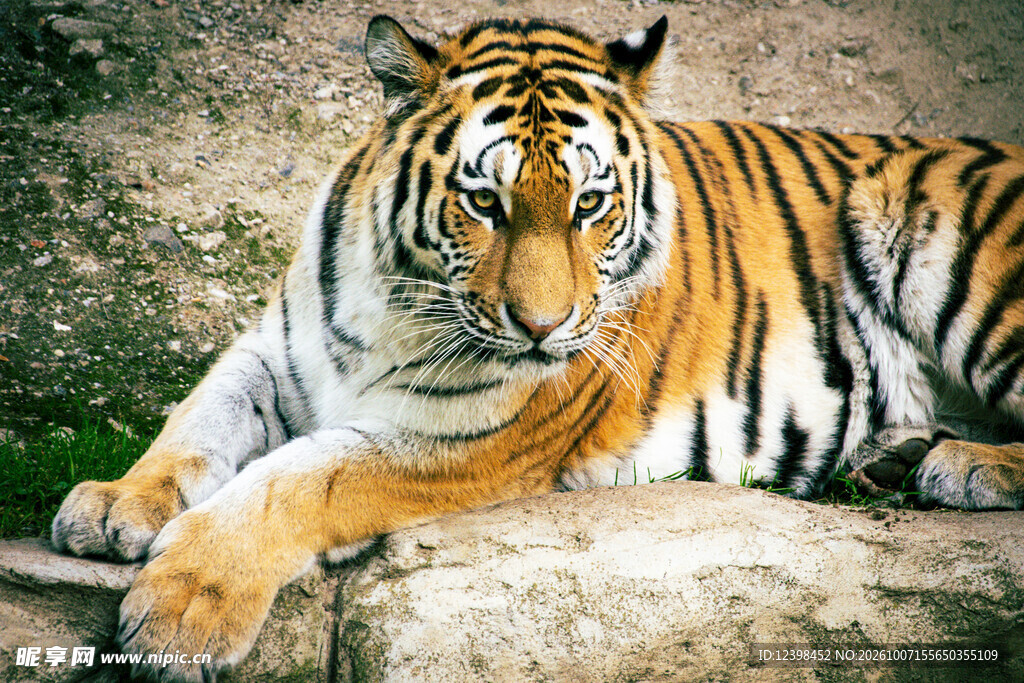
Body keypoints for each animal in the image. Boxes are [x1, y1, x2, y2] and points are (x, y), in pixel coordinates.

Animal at [50, 13, 1024, 681]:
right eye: (486, 203)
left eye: (590, 205)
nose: (544, 327)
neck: (395, 296)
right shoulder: (275, 351)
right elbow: (197, 421)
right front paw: (114, 505)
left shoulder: (458, 436)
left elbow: (296, 480)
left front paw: (182, 609)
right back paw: (896, 457)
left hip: (951, 245)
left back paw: (961, 466)